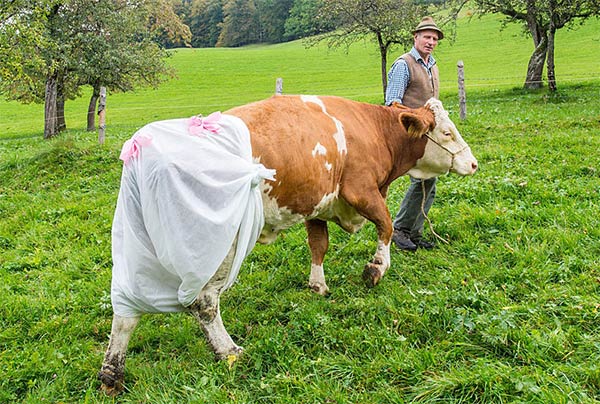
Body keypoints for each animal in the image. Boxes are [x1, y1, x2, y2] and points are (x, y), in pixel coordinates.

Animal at [98, 95, 476, 394]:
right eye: (447, 132)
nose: (472, 163)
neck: (372, 129)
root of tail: (143, 147)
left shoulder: (318, 203)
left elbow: (318, 244)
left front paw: (318, 285)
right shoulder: (361, 189)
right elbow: (385, 225)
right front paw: (376, 269)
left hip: (137, 251)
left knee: (125, 312)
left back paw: (111, 373)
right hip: (216, 246)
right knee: (204, 303)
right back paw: (229, 351)